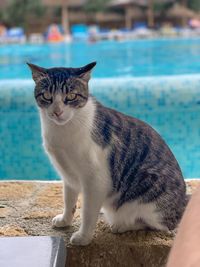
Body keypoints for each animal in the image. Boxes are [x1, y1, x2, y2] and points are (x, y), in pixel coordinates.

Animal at [27, 61, 187, 246]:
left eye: (72, 96)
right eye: (47, 96)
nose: (57, 112)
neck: (62, 132)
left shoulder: (95, 180)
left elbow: (88, 213)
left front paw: (83, 237)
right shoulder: (67, 175)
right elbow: (69, 200)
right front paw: (65, 220)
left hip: (148, 191)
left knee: (158, 225)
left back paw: (122, 225)